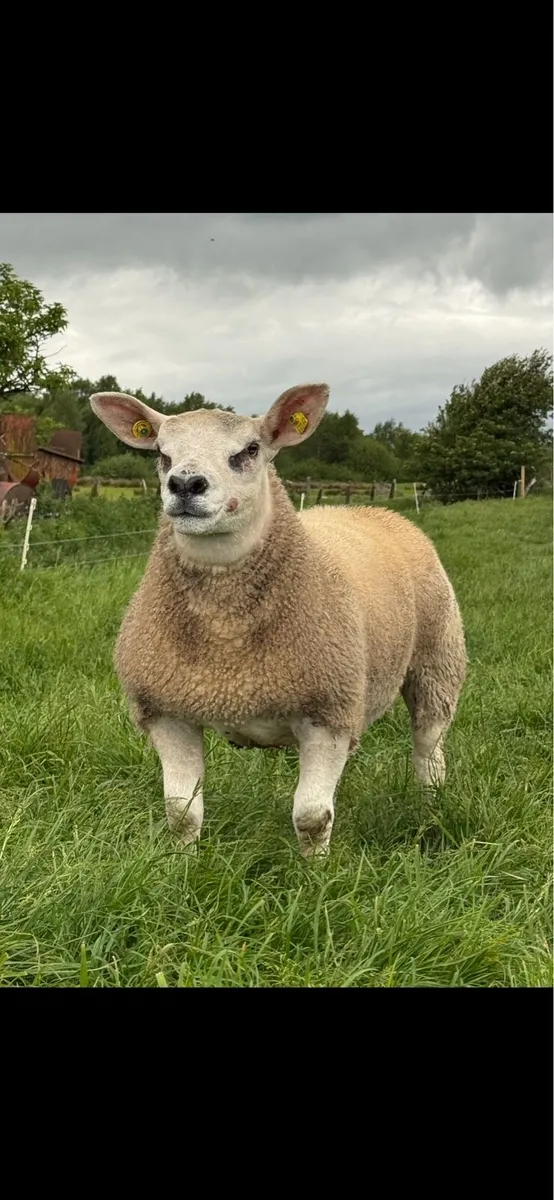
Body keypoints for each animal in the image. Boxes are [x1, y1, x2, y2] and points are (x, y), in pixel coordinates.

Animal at [90, 383, 467, 857]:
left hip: (437, 659)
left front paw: (318, 871)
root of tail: (377, 511)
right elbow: (181, 813)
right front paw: (182, 863)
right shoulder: (166, 711)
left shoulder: (327, 713)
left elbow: (311, 817)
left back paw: (430, 806)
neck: (226, 640)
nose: (185, 484)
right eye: (161, 452)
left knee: (429, 746)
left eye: (250, 449)